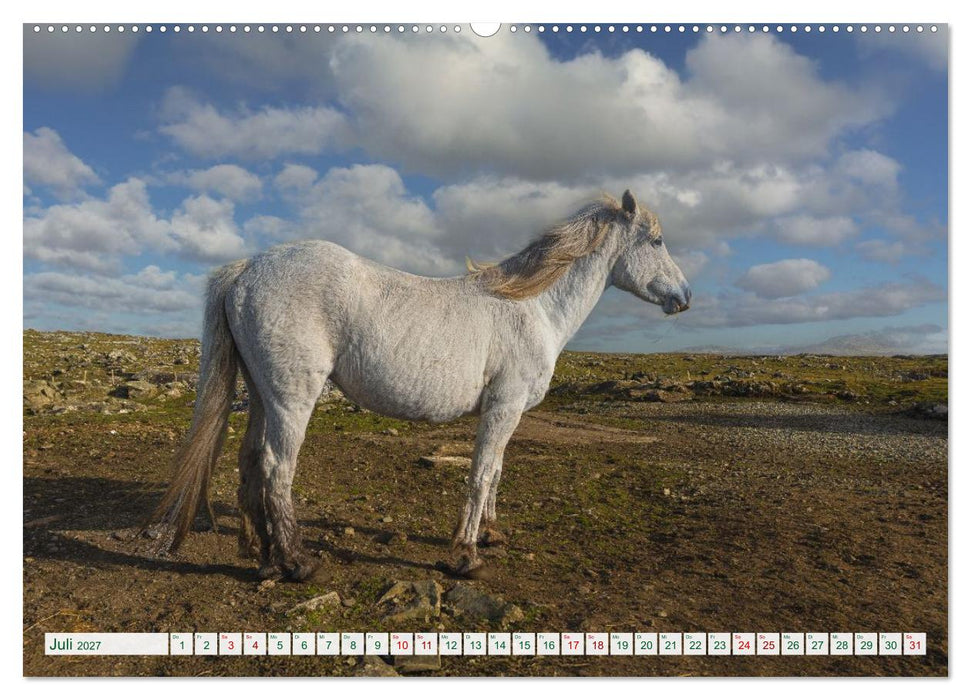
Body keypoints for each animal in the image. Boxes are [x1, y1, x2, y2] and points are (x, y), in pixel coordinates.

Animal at [147, 189, 691, 581]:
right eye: (657, 242)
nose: (685, 296)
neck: (532, 307)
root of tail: (246, 269)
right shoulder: (504, 407)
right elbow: (480, 474)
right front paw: (465, 556)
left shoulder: (507, 412)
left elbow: (496, 472)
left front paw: (490, 534)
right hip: (291, 398)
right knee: (277, 469)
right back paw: (297, 563)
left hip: (261, 395)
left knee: (249, 463)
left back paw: (263, 558)